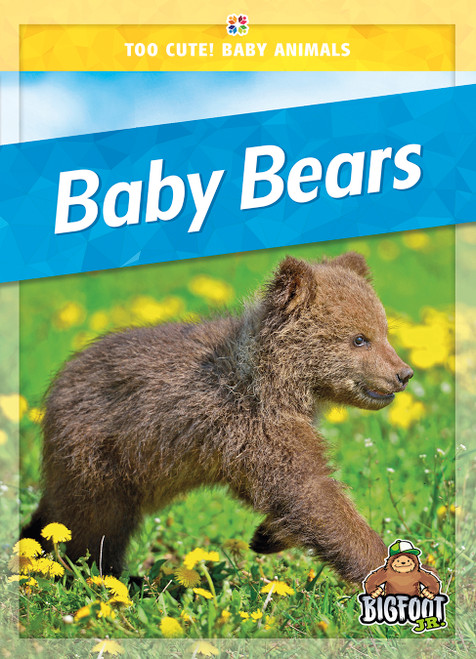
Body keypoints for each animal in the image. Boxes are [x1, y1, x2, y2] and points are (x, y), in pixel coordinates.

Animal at [21, 251, 413, 583]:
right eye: (359, 338)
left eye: (385, 331)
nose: (403, 373)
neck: (276, 380)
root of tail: (59, 384)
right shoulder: (254, 425)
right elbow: (309, 492)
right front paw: (380, 565)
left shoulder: (245, 444)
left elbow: (287, 496)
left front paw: (266, 536)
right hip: (99, 462)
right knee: (92, 527)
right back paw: (102, 577)